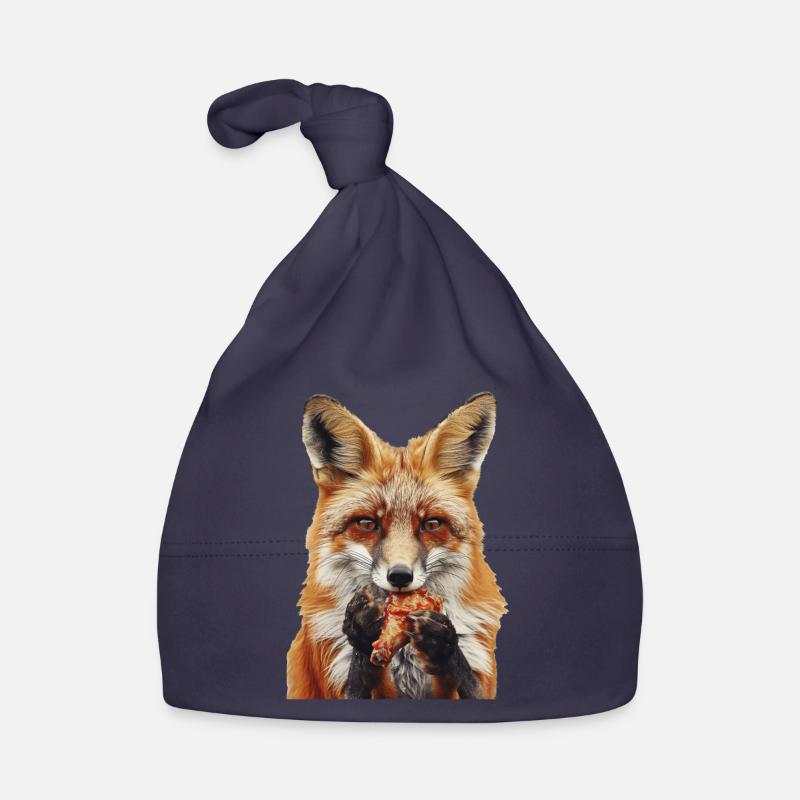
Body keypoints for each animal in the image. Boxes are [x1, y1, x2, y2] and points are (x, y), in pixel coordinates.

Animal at [286, 392, 507, 700]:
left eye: (431, 524)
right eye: (367, 524)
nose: (400, 576)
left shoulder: (481, 682)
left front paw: (444, 645)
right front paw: (362, 631)